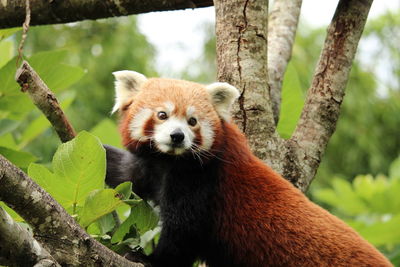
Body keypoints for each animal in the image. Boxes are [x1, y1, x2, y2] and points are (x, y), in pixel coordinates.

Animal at [104, 71, 392, 267]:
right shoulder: (151, 167)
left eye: (192, 121)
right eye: (162, 115)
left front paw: (148, 259)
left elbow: (183, 234)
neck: (169, 161)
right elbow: (123, 174)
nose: (177, 136)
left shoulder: (200, 180)